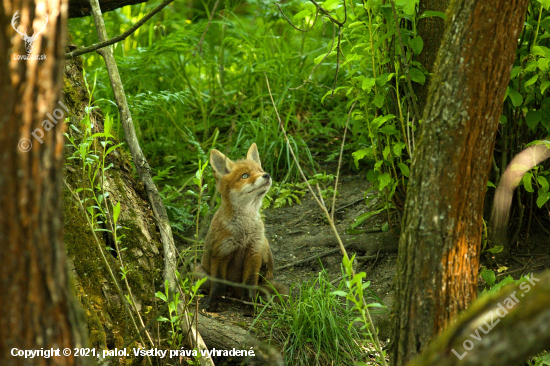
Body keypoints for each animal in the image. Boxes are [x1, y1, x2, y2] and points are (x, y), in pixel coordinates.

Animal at [195, 142, 288, 314]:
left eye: (260, 171)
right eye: (245, 176)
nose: (267, 175)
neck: (243, 231)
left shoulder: (253, 252)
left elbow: (250, 283)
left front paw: (249, 305)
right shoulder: (221, 253)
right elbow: (218, 284)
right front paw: (215, 302)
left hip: (263, 244)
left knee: (267, 280)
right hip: (199, 273)